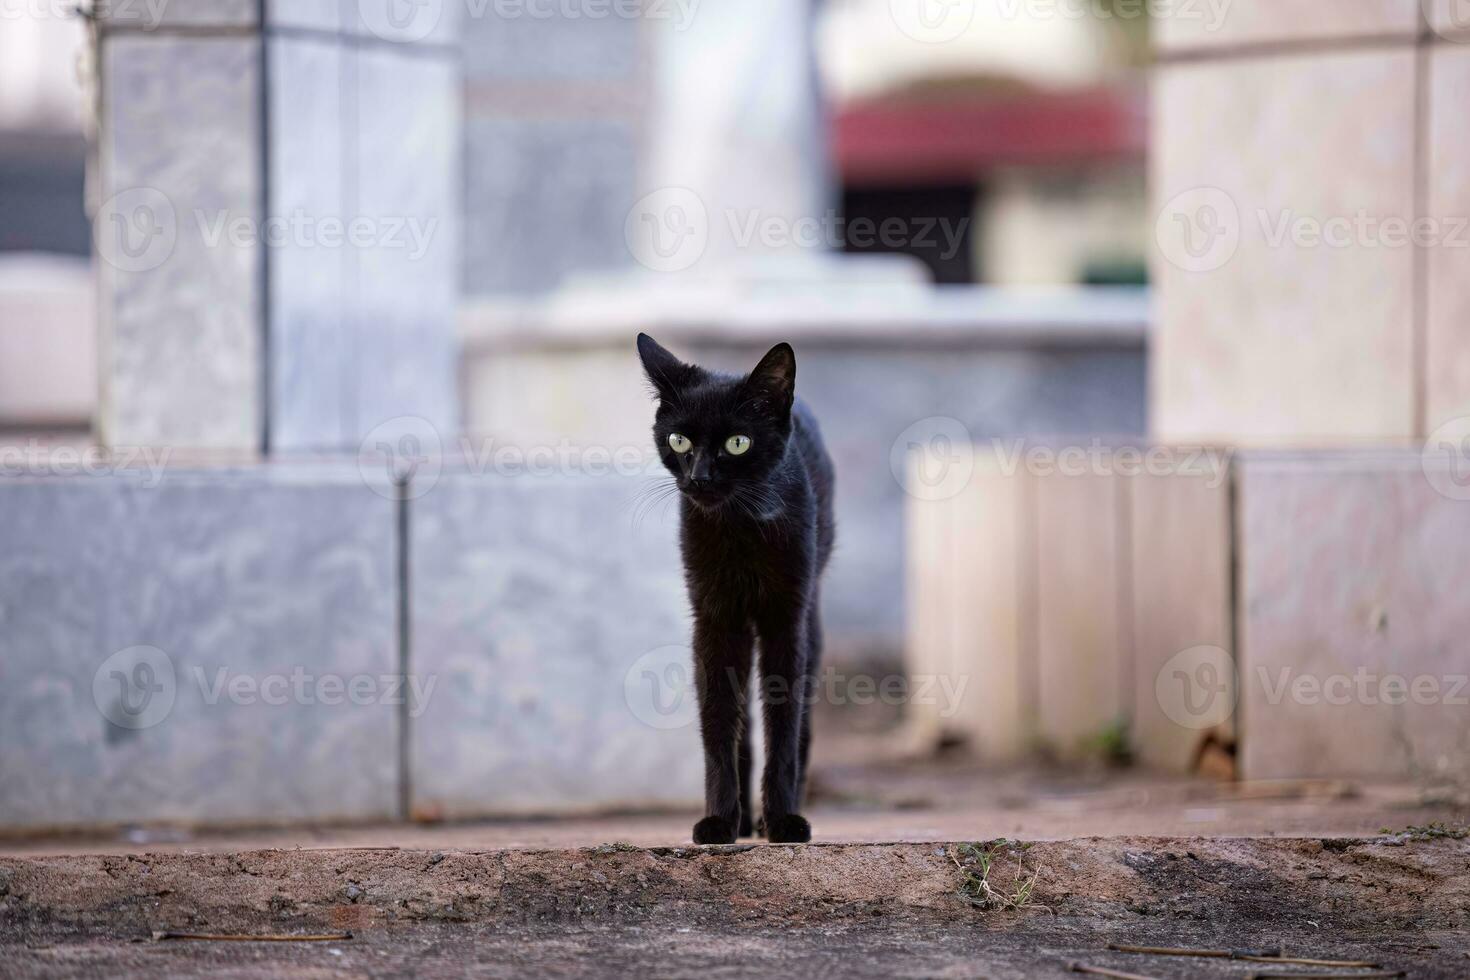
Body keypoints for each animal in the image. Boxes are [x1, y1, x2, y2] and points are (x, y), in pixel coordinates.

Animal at [637, 334, 834, 846]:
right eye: (679, 441)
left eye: (737, 443)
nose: (699, 478)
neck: (740, 527)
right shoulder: (714, 619)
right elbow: (719, 722)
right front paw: (719, 821)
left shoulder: (787, 619)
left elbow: (783, 724)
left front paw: (783, 821)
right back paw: (743, 820)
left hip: (810, 617)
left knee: (801, 721)